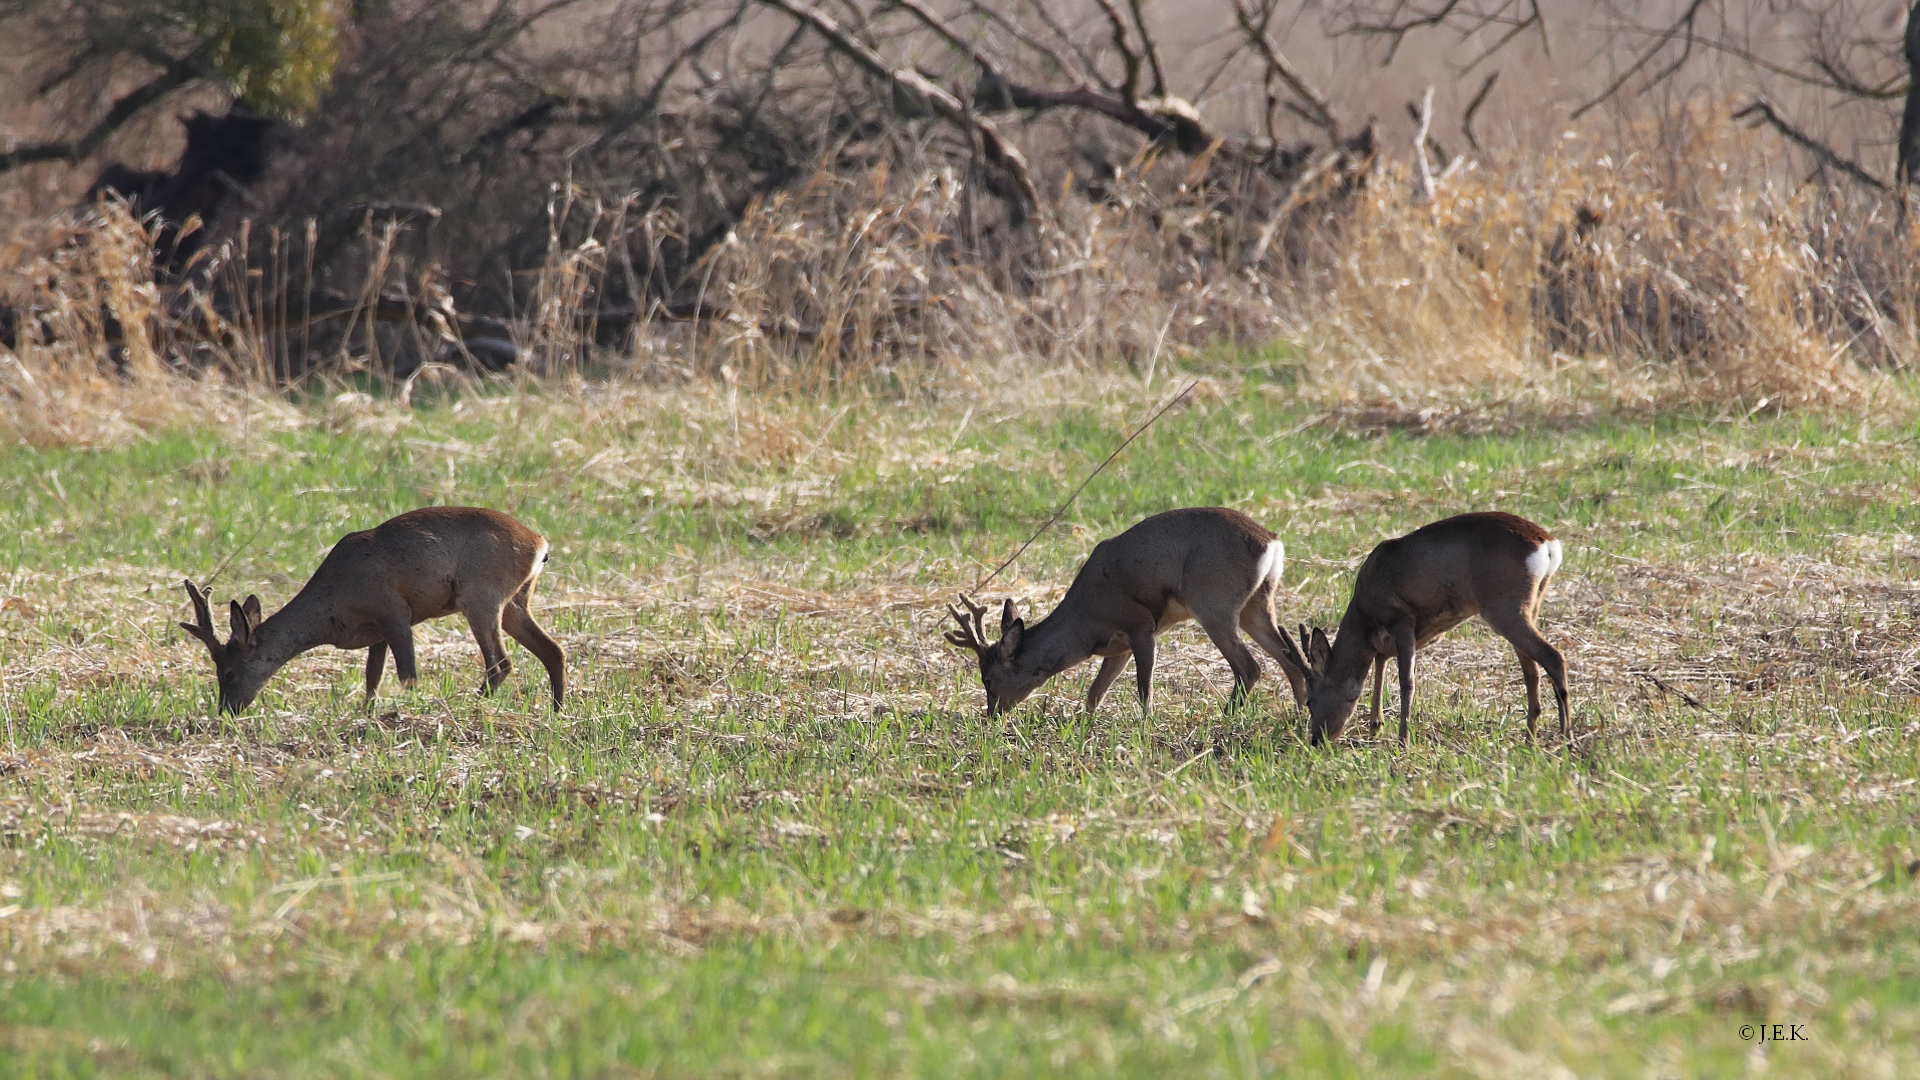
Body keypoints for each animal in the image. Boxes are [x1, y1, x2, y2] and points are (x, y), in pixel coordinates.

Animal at [180, 507, 564, 711]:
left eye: (229, 673)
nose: (226, 711)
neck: (334, 600)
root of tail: (540, 544)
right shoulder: (376, 632)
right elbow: (371, 678)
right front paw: (366, 714)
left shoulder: (394, 613)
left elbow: (408, 674)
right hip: (515, 601)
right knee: (552, 650)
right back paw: (558, 710)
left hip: (482, 596)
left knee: (500, 662)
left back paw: (473, 705)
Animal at [940, 507, 1313, 714]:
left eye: (988, 679)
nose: (991, 715)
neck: (1085, 622)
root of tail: (1270, 541)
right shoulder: (1116, 648)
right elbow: (1094, 694)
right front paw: (1084, 727)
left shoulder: (1140, 625)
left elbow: (1143, 687)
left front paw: (1145, 725)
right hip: (1256, 604)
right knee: (1290, 660)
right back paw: (1298, 717)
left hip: (1214, 603)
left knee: (1250, 667)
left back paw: (1227, 716)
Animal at [1274, 507, 1559, 745]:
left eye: (1310, 701)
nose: (1316, 740)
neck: (1363, 612)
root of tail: (1548, 543)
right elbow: (1380, 663)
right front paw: (1375, 726)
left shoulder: (1401, 616)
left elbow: (1406, 680)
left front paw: (1403, 739)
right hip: (1528, 605)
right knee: (1532, 670)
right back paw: (1531, 737)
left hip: (1504, 605)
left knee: (1553, 656)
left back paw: (1563, 737)